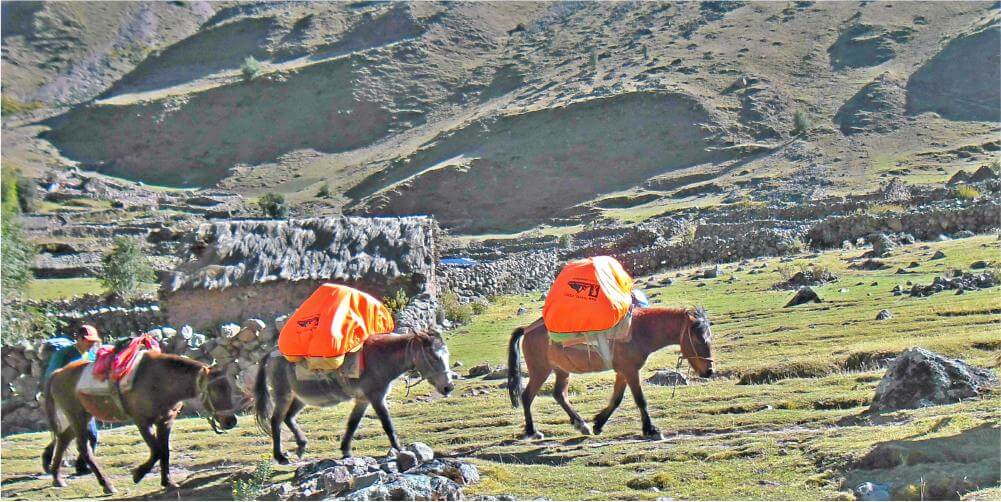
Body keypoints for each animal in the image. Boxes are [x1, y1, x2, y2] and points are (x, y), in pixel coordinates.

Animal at [44, 350, 239, 490]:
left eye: (229, 388)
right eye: (215, 390)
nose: (231, 421)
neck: (161, 380)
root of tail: (58, 373)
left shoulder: (165, 421)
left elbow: (165, 451)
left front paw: (167, 482)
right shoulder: (142, 422)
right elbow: (157, 450)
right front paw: (138, 474)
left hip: (83, 416)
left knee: (63, 439)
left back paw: (57, 478)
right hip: (76, 416)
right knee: (83, 448)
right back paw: (107, 485)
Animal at [254, 330, 454, 462]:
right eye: (434, 356)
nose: (448, 387)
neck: (380, 359)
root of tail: (271, 353)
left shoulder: (363, 400)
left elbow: (352, 424)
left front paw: (346, 451)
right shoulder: (376, 397)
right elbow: (387, 424)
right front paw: (399, 448)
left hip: (300, 398)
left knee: (288, 418)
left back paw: (302, 446)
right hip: (283, 394)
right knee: (276, 420)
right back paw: (280, 457)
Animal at [508, 304, 712, 438]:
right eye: (698, 339)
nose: (709, 371)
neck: (639, 331)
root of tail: (527, 329)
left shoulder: (623, 372)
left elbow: (616, 399)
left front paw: (598, 423)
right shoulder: (630, 371)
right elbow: (640, 400)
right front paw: (651, 430)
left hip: (561, 370)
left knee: (559, 395)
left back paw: (581, 425)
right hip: (540, 370)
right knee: (527, 396)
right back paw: (533, 431)